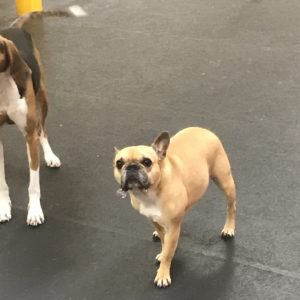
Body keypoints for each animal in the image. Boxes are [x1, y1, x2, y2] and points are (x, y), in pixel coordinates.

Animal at [0, 12, 67, 226]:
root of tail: (13, 27)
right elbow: (1, 182)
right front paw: (3, 207)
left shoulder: (29, 136)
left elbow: (34, 183)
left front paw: (35, 211)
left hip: (43, 100)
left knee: (42, 130)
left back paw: (50, 156)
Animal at [113, 127, 238, 288]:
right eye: (119, 163)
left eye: (147, 162)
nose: (131, 167)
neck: (149, 193)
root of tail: (204, 129)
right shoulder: (153, 219)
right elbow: (164, 240)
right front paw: (163, 250)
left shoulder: (173, 226)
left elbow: (168, 252)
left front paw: (162, 274)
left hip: (225, 181)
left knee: (231, 207)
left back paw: (229, 228)